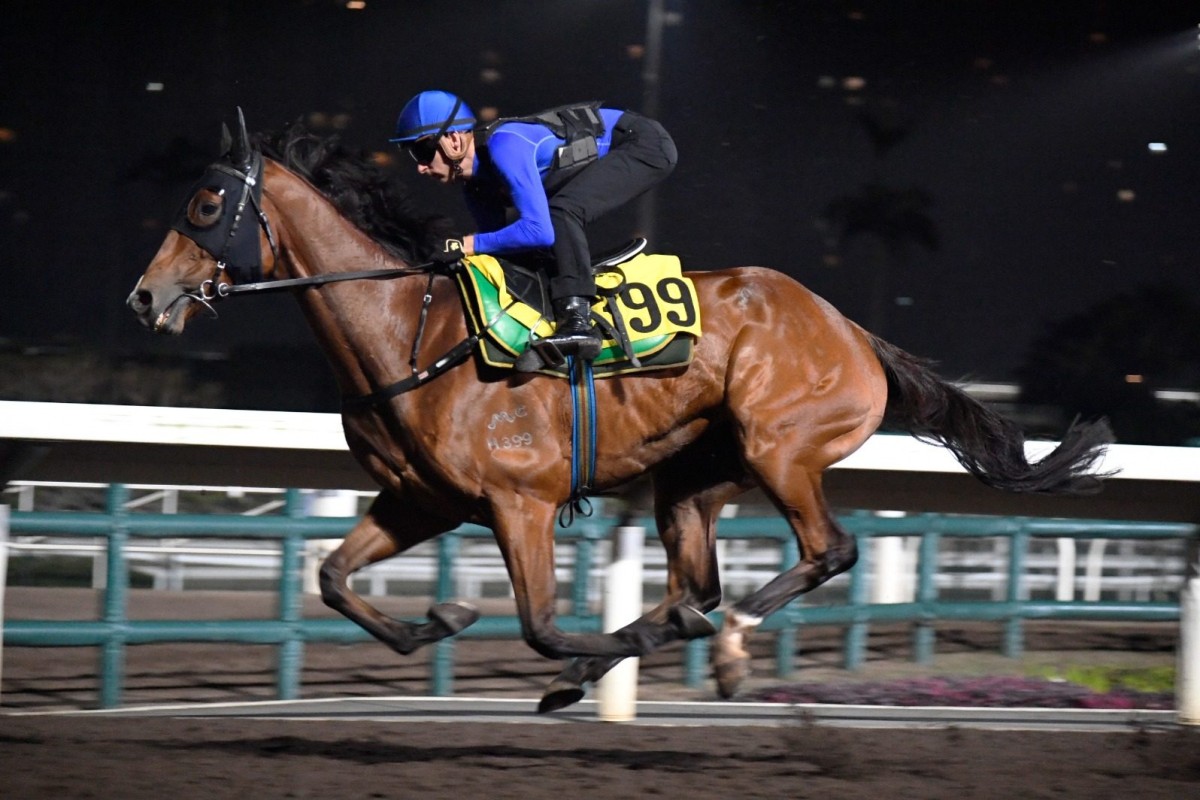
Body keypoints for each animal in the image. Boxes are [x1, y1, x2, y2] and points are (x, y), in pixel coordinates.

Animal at [126, 113, 1108, 714]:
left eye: (206, 203)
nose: (145, 297)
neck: (408, 330)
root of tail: (853, 330)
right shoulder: (422, 500)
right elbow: (331, 578)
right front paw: (434, 624)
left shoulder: (518, 502)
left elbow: (538, 622)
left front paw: (532, 640)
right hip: (692, 475)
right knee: (695, 587)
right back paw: (647, 647)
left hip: (781, 447)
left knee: (822, 554)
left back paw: (726, 646)